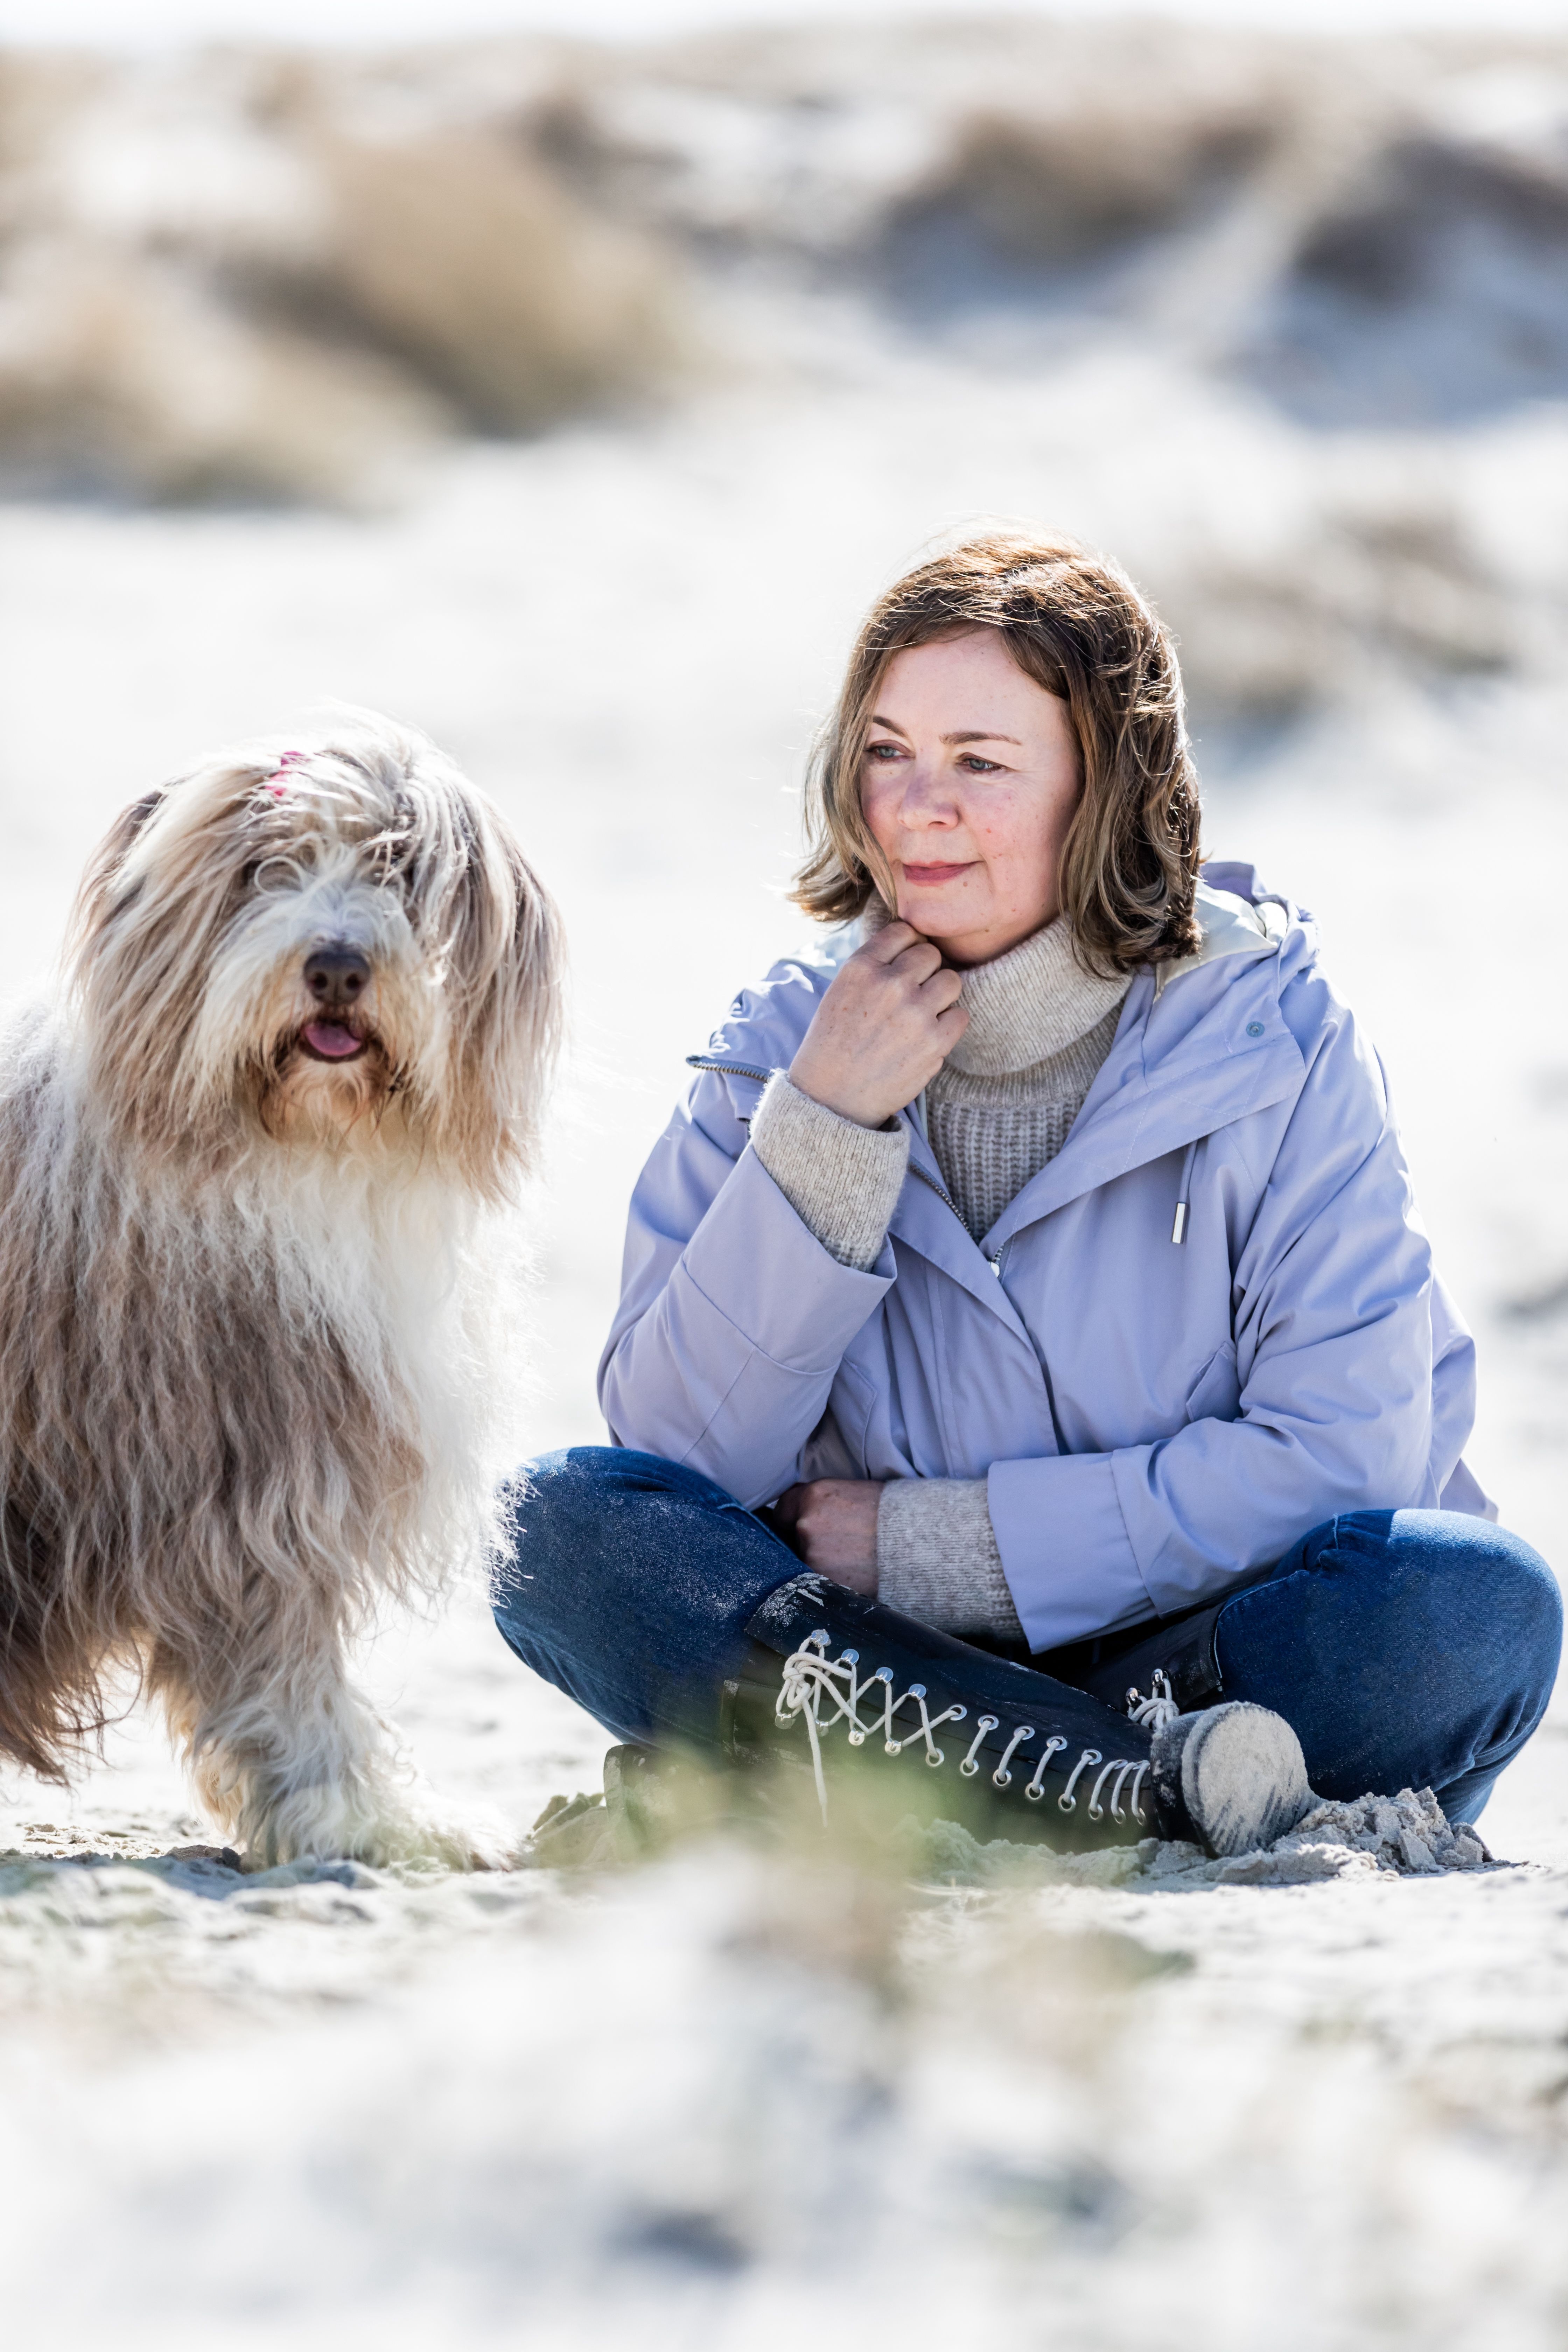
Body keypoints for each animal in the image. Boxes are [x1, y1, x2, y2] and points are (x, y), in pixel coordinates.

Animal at [0, 720, 562, 1872]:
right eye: (269, 869)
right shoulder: (252, 1479)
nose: (338, 966)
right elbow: (293, 1676)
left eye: (398, 867)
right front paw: (377, 1816)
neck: (296, 1147)